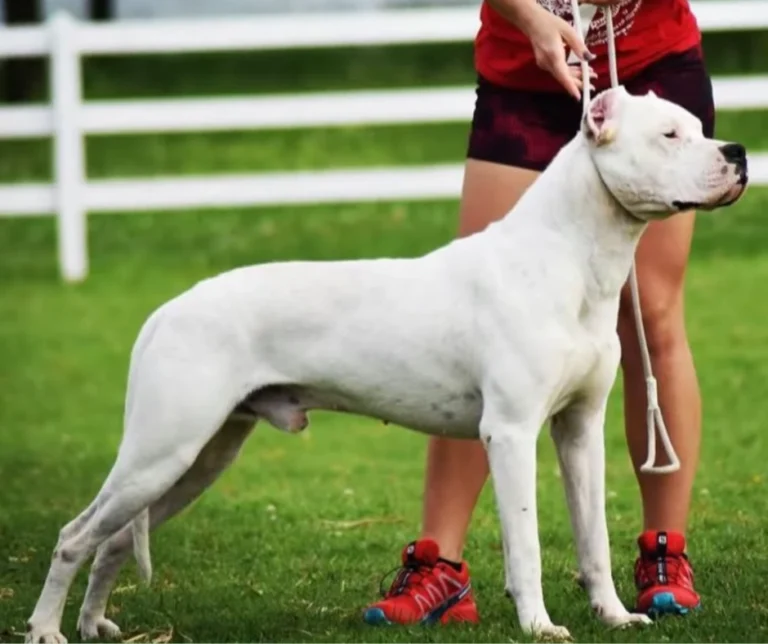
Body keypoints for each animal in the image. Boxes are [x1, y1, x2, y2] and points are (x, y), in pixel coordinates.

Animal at [27, 87, 748, 644]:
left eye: (700, 126)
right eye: (669, 135)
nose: (737, 153)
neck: (570, 259)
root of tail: (165, 310)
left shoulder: (580, 430)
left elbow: (593, 538)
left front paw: (615, 615)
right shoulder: (511, 434)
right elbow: (527, 545)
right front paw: (540, 625)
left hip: (199, 458)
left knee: (113, 542)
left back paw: (93, 624)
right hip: (162, 451)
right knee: (75, 535)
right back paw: (46, 628)